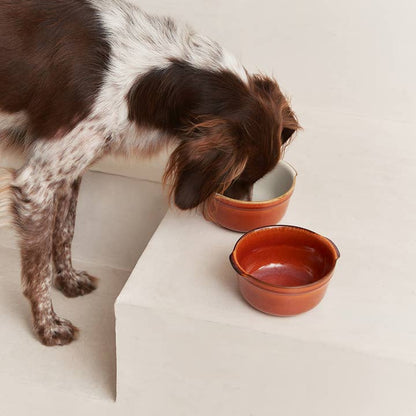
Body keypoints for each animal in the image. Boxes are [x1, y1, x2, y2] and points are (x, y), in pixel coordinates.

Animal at [0, 0, 300, 344]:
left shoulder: (68, 170)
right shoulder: (35, 182)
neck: (137, 72)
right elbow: (39, 269)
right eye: (238, 179)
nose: (248, 221)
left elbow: (64, 233)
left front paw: (70, 281)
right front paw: (48, 326)